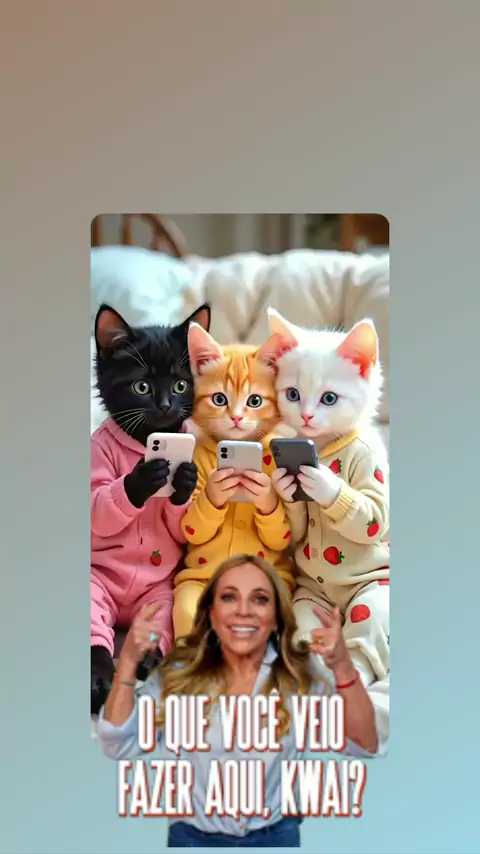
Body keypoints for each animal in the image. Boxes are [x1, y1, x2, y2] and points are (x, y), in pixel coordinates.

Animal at [90, 303, 210, 715]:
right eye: (141, 386)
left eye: (180, 385)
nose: (165, 406)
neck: (142, 442)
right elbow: (101, 506)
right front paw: (141, 480)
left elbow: (183, 522)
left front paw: (183, 481)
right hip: (95, 586)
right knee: (97, 631)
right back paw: (99, 680)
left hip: (160, 597)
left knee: (157, 626)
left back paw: (146, 658)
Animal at [172, 323, 296, 639]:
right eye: (219, 399)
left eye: (255, 401)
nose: (237, 418)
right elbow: (191, 527)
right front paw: (218, 491)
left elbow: (281, 533)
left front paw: (262, 495)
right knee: (187, 611)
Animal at [267, 308, 390, 689]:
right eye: (292, 394)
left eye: (329, 398)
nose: (306, 416)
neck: (325, 446)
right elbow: (296, 529)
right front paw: (287, 486)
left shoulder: (372, 463)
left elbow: (374, 516)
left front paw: (324, 482)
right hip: (309, 599)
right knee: (305, 624)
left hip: (376, 589)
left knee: (368, 620)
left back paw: (354, 674)